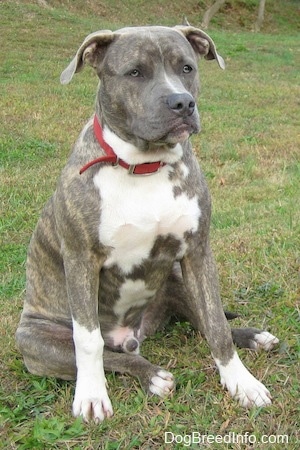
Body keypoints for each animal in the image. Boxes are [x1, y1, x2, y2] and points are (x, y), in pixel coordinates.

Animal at [16, 24, 278, 422]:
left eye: (187, 67)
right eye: (135, 72)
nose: (182, 103)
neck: (143, 167)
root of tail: (132, 336)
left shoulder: (197, 253)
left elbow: (216, 323)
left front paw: (241, 383)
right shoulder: (80, 259)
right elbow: (88, 341)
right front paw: (91, 396)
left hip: (176, 278)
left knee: (205, 321)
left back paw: (253, 337)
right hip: (34, 340)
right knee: (112, 355)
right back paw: (151, 375)